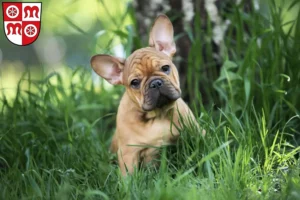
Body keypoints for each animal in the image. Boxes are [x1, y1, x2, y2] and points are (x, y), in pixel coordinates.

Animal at [90, 14, 200, 176]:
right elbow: (129, 176)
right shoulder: (128, 154)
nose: (155, 83)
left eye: (165, 68)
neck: (157, 114)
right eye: (135, 82)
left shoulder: (195, 132)